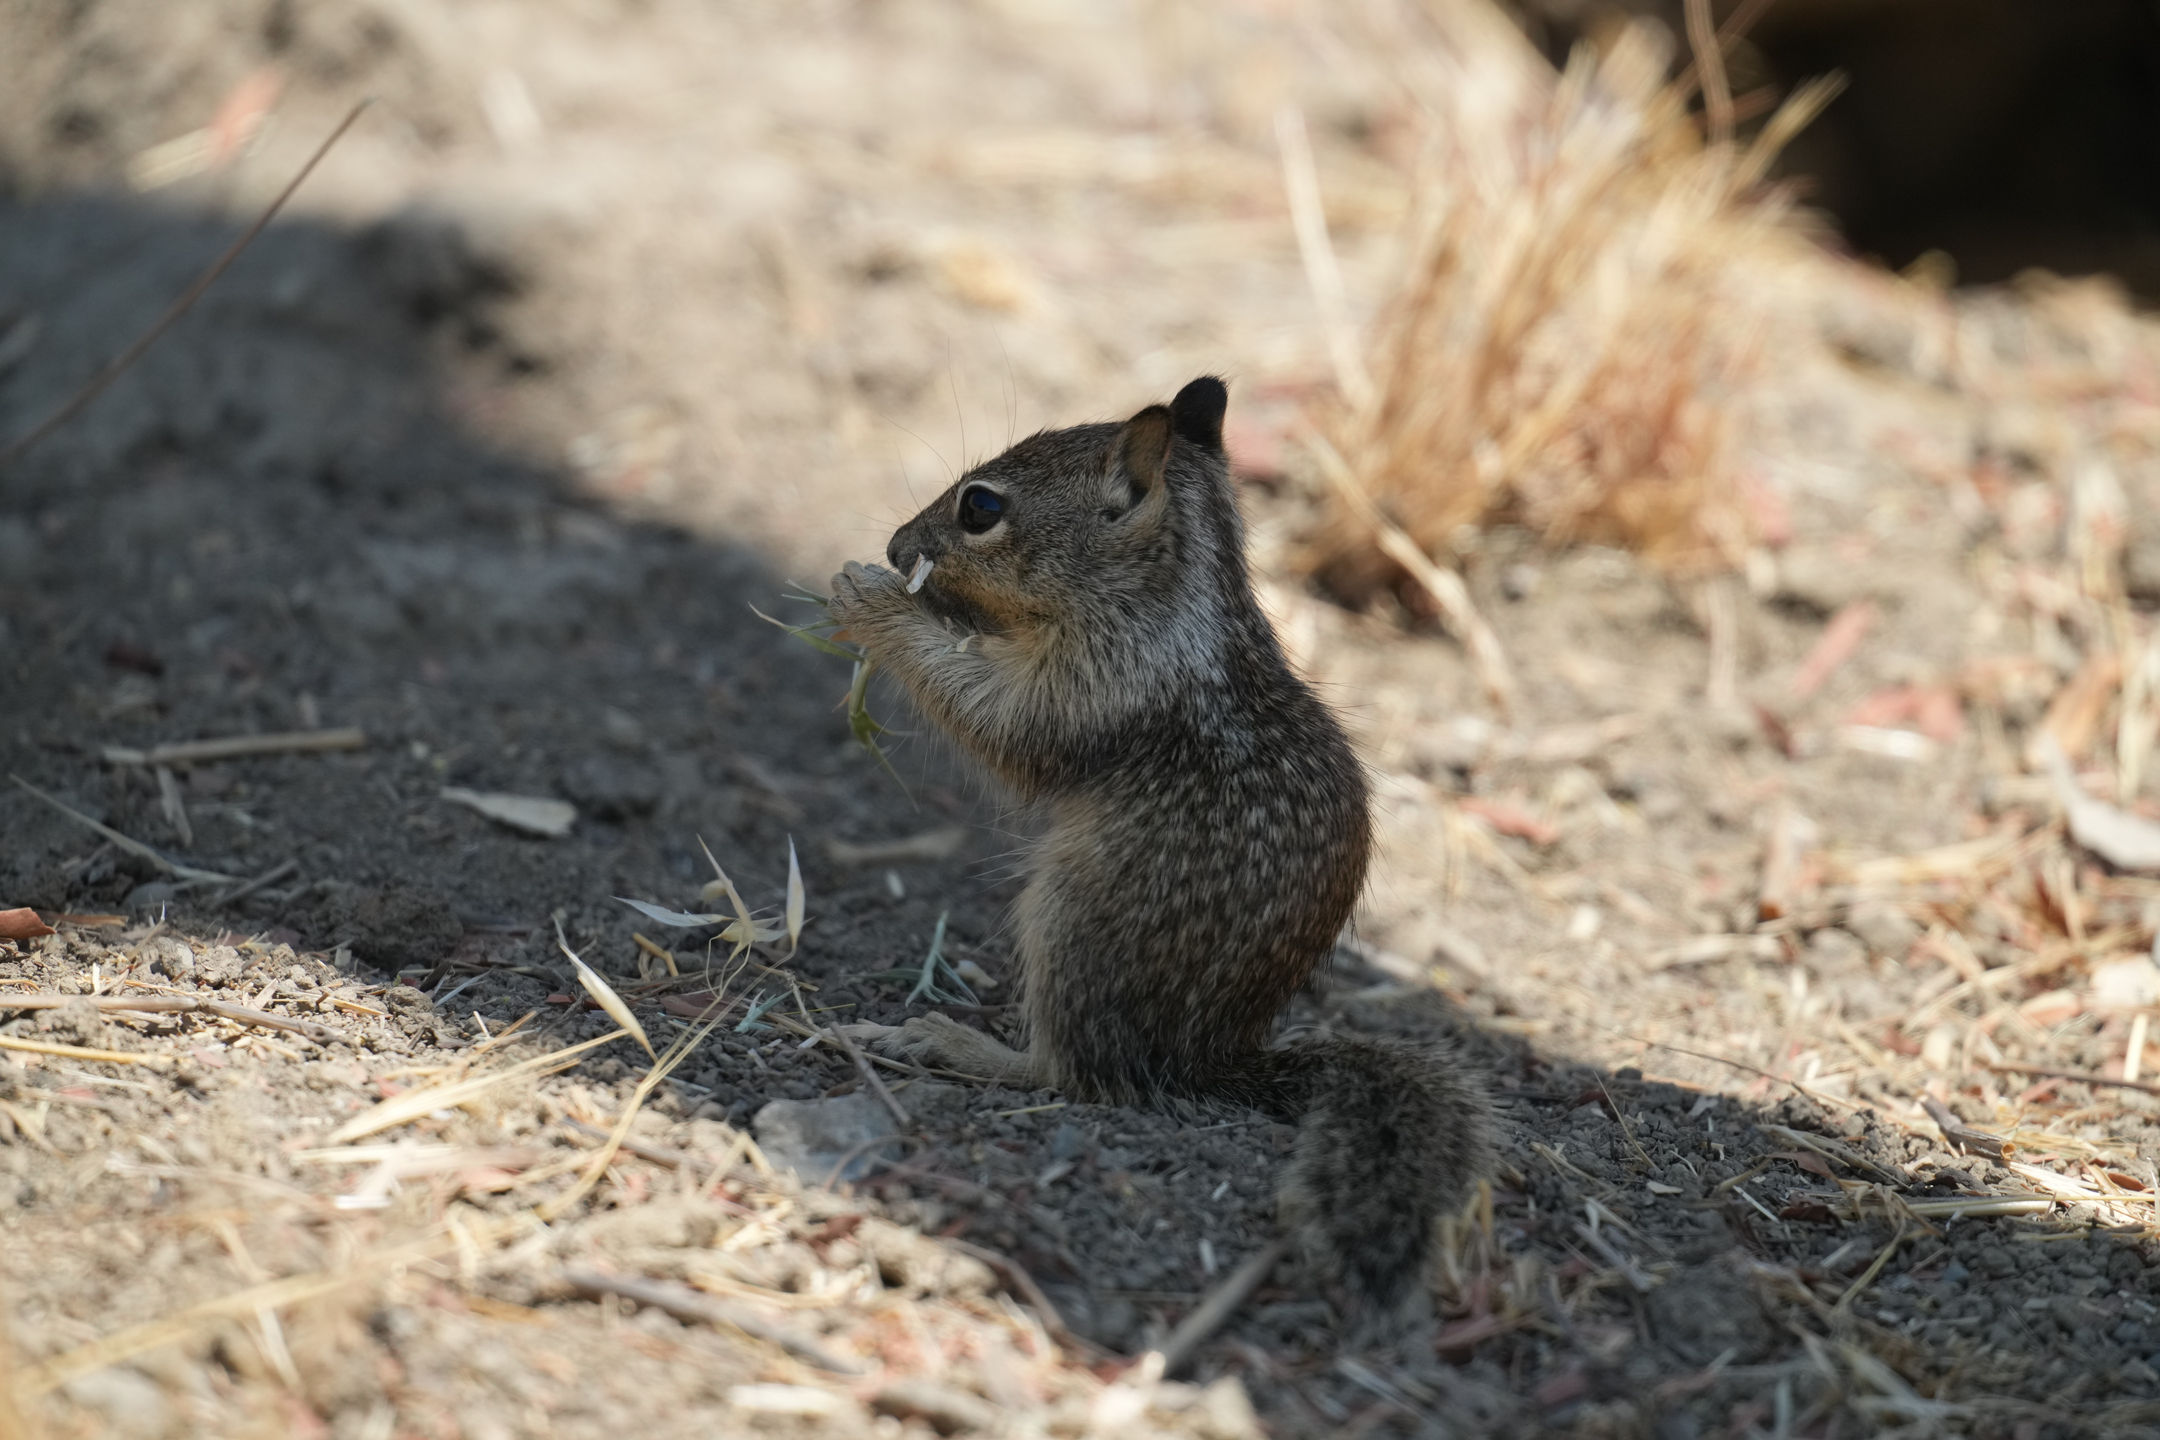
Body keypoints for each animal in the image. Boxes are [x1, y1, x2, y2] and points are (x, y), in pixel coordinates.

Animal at [831, 376, 1492, 1332]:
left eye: (980, 507)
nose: (893, 545)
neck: (1168, 601)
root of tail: (1208, 1056)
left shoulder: (1099, 684)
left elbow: (997, 723)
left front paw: (873, 600)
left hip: (1071, 927)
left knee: (1076, 1074)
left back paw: (955, 1044)